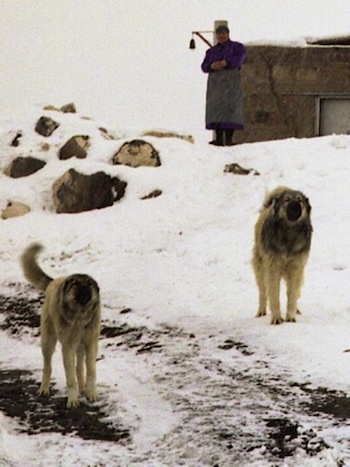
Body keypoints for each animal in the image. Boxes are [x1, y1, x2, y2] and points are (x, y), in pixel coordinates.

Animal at [21, 243, 101, 408]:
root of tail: (54, 281)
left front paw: (91, 393)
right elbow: (70, 379)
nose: (85, 289)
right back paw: (44, 389)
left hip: (80, 346)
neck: (80, 318)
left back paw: (83, 388)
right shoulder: (68, 347)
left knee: (79, 367)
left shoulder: (91, 344)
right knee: (47, 367)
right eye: (75, 284)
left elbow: (91, 372)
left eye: (89, 284)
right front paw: (73, 400)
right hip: (48, 343)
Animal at [253, 186, 314, 326]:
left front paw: (290, 317)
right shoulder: (272, 268)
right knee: (263, 292)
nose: (296, 207)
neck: (289, 232)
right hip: (260, 269)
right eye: (287, 200)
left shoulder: (295, 268)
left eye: (300, 201)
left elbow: (292, 295)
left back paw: (296, 310)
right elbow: (274, 295)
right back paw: (261, 311)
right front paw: (276, 318)